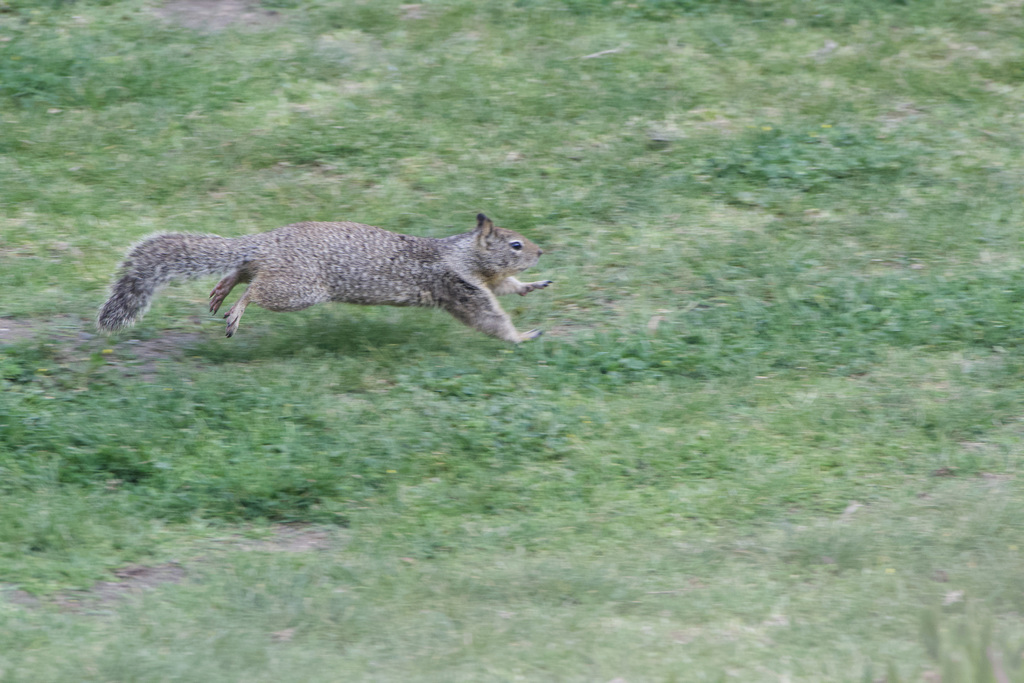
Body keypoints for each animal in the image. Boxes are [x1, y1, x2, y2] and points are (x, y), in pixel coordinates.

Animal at [97, 213, 552, 343]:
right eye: (515, 245)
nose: (541, 252)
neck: (461, 253)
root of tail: (269, 239)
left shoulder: (485, 281)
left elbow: (508, 288)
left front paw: (534, 285)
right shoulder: (461, 288)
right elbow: (490, 319)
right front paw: (523, 336)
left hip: (279, 272)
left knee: (244, 269)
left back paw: (222, 291)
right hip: (298, 288)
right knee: (257, 288)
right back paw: (236, 310)